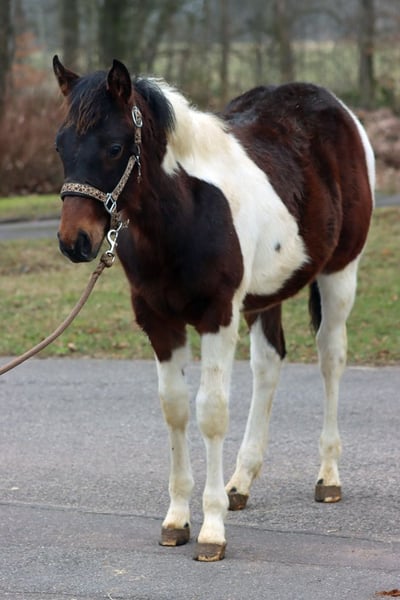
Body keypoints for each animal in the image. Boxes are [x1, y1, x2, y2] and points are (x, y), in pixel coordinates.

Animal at [52, 55, 374, 561]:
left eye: (114, 146)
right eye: (61, 145)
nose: (75, 242)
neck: (184, 213)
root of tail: (336, 108)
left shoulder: (218, 316)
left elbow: (212, 411)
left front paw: (212, 531)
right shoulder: (159, 322)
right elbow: (175, 409)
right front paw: (177, 520)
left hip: (341, 273)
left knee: (331, 359)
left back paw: (328, 477)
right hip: (266, 294)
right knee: (269, 364)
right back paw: (240, 483)